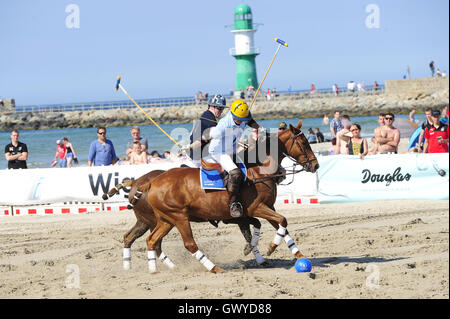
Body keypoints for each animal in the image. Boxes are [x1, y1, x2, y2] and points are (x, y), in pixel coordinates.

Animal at [146, 121, 318, 274]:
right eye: (304, 143)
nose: (316, 165)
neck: (259, 170)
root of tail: (152, 182)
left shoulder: (268, 207)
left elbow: (282, 227)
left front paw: (299, 256)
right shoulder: (257, 207)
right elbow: (282, 220)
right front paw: (270, 247)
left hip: (166, 219)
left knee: (152, 240)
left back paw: (155, 270)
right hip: (179, 217)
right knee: (189, 244)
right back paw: (214, 268)